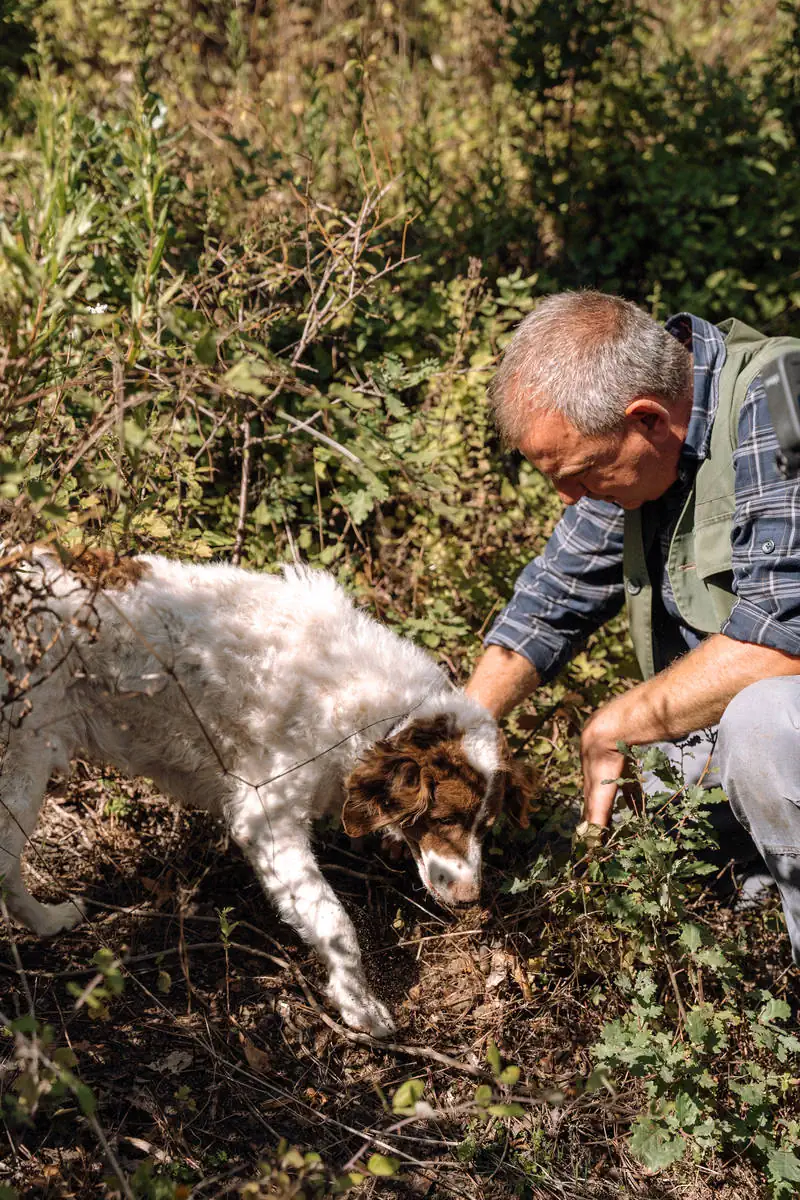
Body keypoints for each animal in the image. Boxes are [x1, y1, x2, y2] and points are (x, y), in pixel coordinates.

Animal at [1, 549, 532, 1036]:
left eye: (483, 827)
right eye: (445, 820)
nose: (470, 899)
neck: (369, 708)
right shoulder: (264, 818)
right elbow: (336, 925)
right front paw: (359, 1005)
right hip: (21, 771)